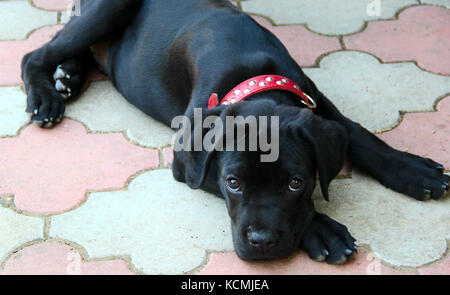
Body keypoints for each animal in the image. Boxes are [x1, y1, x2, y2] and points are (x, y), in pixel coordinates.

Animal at [22, 0, 448, 264]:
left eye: (296, 183)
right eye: (233, 183)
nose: (261, 244)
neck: (250, 72)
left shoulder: (314, 98)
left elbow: (358, 134)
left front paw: (412, 170)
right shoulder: (187, 161)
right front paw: (324, 230)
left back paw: (68, 77)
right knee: (35, 53)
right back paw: (47, 95)